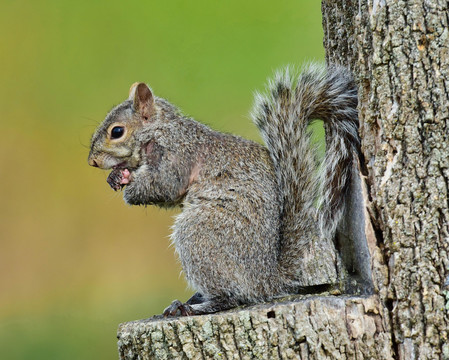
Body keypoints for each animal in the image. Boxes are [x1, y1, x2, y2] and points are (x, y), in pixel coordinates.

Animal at [89, 64, 358, 316]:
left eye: (117, 131)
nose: (92, 161)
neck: (161, 130)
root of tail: (266, 280)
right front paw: (116, 176)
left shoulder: (177, 156)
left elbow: (164, 186)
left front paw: (128, 185)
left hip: (199, 235)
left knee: (231, 296)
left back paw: (197, 306)